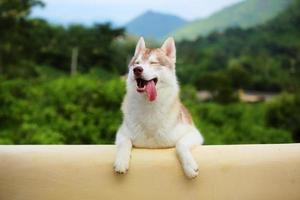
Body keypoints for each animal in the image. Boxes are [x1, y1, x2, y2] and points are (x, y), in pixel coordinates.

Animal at [113, 36, 204, 178]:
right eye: (137, 62)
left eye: (153, 62)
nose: (137, 69)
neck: (149, 107)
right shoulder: (122, 133)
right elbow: (125, 142)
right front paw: (121, 161)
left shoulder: (194, 133)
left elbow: (180, 144)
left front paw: (189, 166)